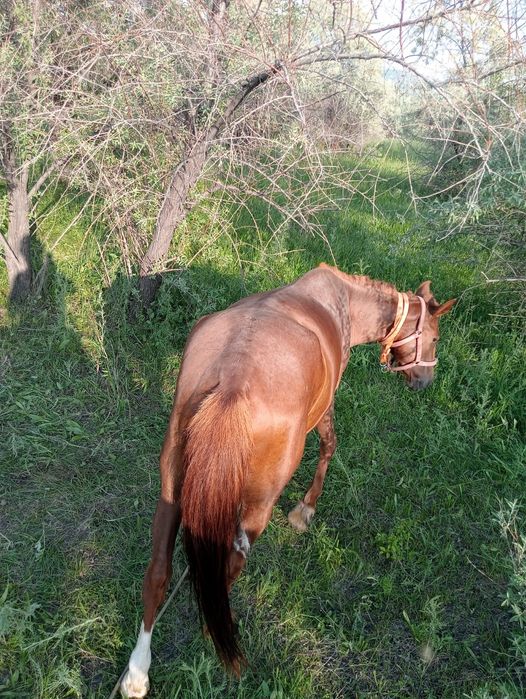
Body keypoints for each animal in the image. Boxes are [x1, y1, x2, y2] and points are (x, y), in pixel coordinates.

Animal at [120, 263, 456, 697]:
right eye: (434, 337)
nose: (425, 382)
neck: (342, 299)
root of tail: (232, 387)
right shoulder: (326, 404)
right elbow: (330, 445)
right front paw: (305, 510)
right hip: (256, 507)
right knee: (231, 565)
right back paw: (215, 635)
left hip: (172, 489)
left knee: (158, 572)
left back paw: (137, 672)